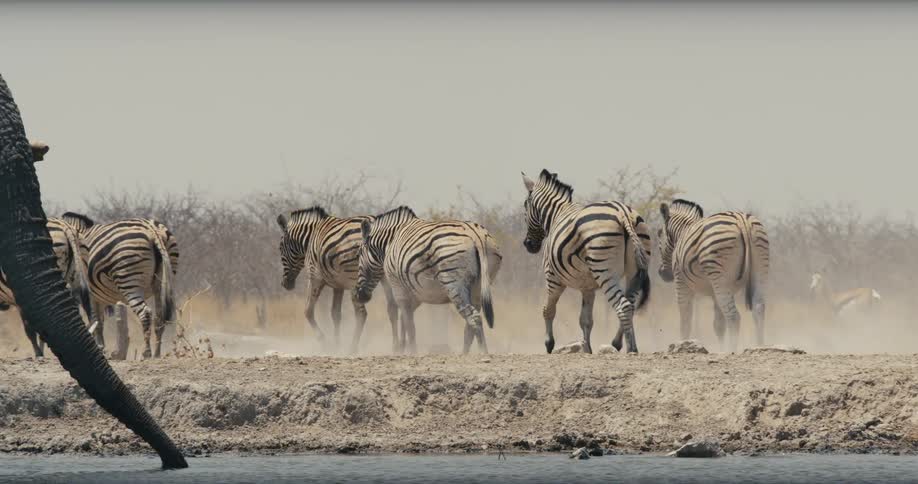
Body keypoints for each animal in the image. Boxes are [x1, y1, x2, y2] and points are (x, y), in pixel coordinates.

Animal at [62, 212, 178, 359]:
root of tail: (151, 229)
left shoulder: (90, 295)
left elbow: (95, 321)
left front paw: (100, 349)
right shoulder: (98, 298)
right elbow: (99, 322)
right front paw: (101, 349)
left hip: (128, 279)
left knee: (145, 313)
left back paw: (146, 352)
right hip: (161, 281)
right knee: (159, 317)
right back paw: (156, 353)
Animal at [277, 206, 399, 353]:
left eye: (280, 248)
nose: (285, 284)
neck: (310, 237)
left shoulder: (314, 276)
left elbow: (308, 311)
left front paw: (325, 343)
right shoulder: (338, 285)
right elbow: (335, 314)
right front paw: (337, 345)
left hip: (355, 279)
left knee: (361, 314)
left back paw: (353, 348)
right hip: (384, 275)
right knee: (392, 308)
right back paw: (395, 347)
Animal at [354, 206, 502, 354]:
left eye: (360, 254)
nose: (360, 296)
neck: (390, 241)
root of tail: (476, 234)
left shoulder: (398, 287)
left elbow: (409, 324)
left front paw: (411, 352)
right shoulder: (415, 293)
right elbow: (405, 321)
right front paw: (403, 349)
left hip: (454, 283)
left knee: (473, 317)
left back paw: (482, 352)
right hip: (479, 285)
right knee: (470, 325)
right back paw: (465, 354)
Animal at [521, 170, 652, 354]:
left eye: (525, 206)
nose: (528, 245)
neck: (557, 214)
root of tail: (623, 213)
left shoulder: (552, 277)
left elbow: (548, 310)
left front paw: (549, 344)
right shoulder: (587, 286)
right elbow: (585, 320)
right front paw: (587, 348)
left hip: (604, 270)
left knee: (624, 306)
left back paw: (631, 348)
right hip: (634, 270)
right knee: (631, 305)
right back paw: (617, 343)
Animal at [657, 199, 770, 350]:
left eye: (659, 234)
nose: (662, 273)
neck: (682, 231)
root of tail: (742, 221)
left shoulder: (681, 283)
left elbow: (685, 321)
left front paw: (682, 345)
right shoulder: (715, 293)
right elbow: (718, 325)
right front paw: (720, 350)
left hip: (720, 277)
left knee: (734, 317)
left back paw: (732, 351)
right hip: (759, 270)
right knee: (758, 309)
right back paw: (759, 346)